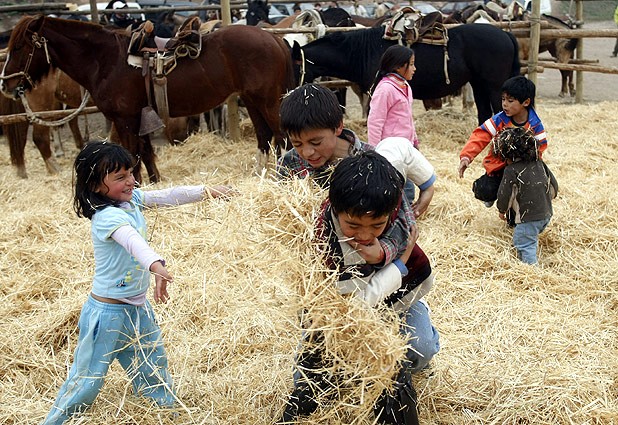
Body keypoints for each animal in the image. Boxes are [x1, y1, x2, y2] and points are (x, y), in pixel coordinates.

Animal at [1, 16, 295, 183]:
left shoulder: (125, 120)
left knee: (282, 137)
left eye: (20, 47)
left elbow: (132, 155)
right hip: (253, 100)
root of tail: (273, 39)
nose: (6, 83)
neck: (106, 60)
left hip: (267, 100)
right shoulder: (138, 117)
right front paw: (154, 182)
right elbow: (145, 152)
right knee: (265, 137)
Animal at [292, 23, 520, 125]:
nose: (291, 89)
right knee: (485, 113)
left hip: (494, 87)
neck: (362, 52)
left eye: (295, 65)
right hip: (479, 84)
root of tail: (506, 34)